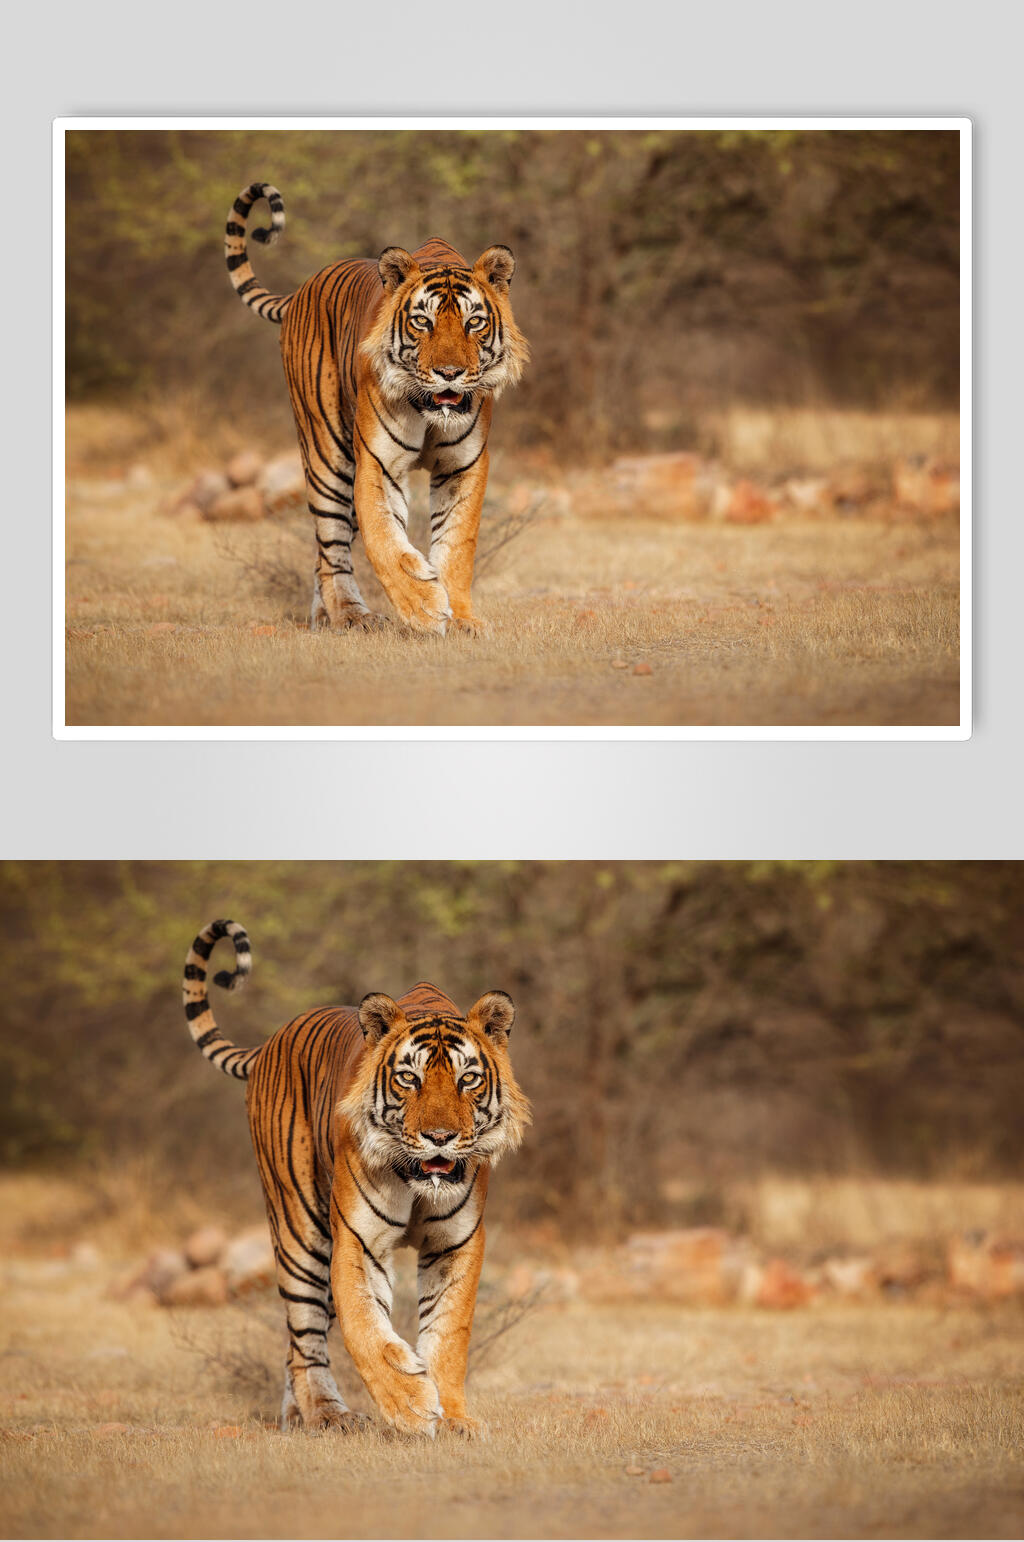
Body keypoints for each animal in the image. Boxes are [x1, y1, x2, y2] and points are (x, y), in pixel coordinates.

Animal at [182, 917, 530, 1438]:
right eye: (409, 1079)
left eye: (468, 1079)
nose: (440, 1137)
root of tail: (268, 1043)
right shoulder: (357, 1241)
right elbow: (365, 1328)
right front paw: (411, 1405)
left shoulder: (456, 1243)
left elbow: (449, 1333)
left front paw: (453, 1418)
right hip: (301, 1232)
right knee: (304, 1337)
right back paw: (326, 1414)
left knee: (294, 1344)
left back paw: (297, 1415)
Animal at [224, 181, 530, 635]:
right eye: (423, 322)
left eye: (474, 322)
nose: (450, 373)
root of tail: (299, 291)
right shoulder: (377, 464)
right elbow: (384, 540)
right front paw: (424, 607)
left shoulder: (463, 466)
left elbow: (457, 544)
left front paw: (461, 618)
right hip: (328, 455)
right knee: (331, 546)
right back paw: (350, 615)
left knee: (322, 553)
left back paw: (325, 616)